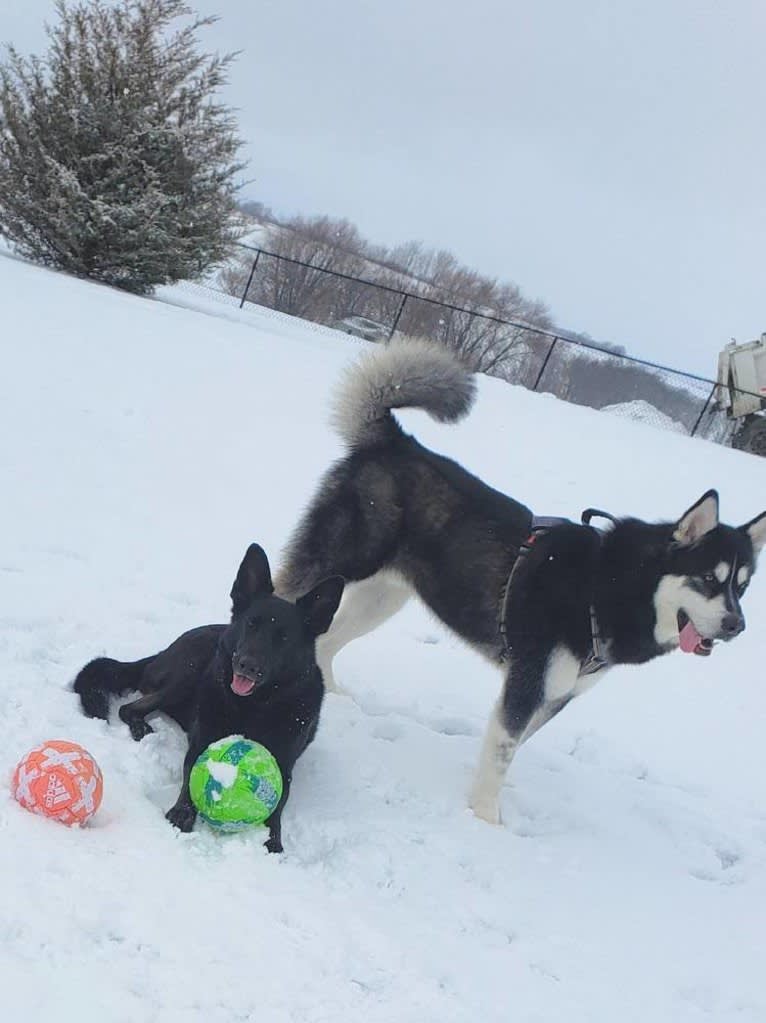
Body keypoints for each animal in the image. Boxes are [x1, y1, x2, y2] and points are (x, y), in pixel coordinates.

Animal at [73, 548, 341, 851]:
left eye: (283, 638)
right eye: (251, 625)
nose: (247, 665)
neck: (252, 707)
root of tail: (162, 652)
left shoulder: (283, 765)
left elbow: (278, 805)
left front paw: (273, 839)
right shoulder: (201, 742)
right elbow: (191, 771)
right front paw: (182, 812)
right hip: (189, 672)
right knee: (130, 708)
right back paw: (141, 727)